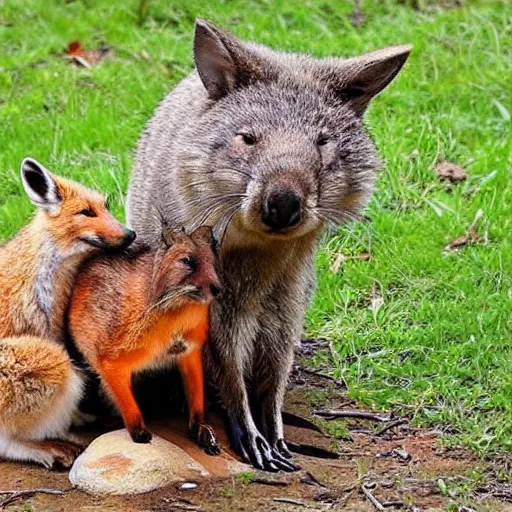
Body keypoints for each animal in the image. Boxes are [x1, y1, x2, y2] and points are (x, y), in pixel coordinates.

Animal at [0, 159, 135, 468]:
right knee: (6, 442)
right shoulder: (47, 334)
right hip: (51, 360)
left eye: (106, 205)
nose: (130, 234)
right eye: (85, 212)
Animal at [67, 226, 221, 454]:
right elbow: (128, 404)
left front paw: (203, 431)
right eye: (187, 261)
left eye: (212, 260)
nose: (218, 289)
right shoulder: (110, 363)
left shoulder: (190, 353)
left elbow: (197, 399)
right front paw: (140, 433)